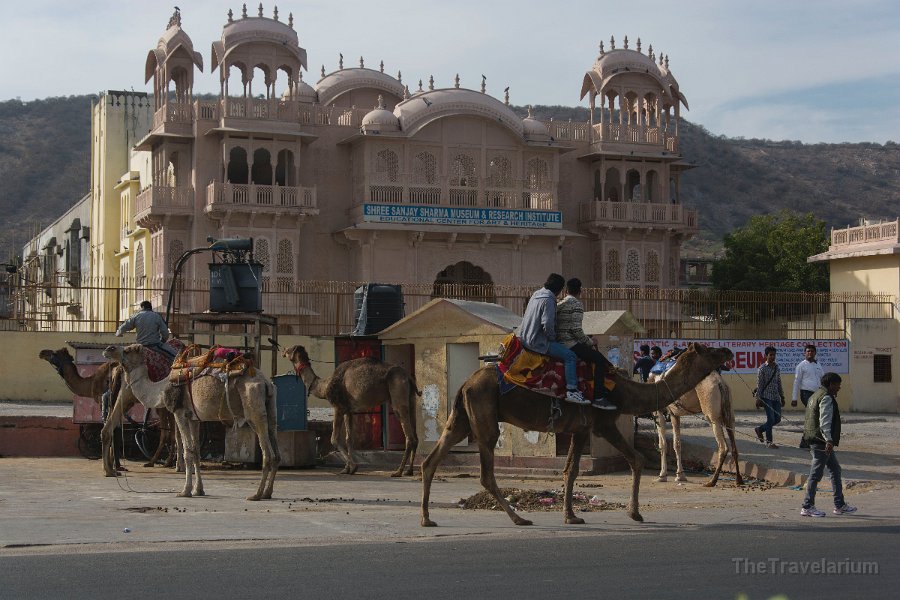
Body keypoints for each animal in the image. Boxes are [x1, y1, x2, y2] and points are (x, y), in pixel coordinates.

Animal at [37, 350, 178, 476]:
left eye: (54, 354)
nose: (42, 353)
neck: (91, 383)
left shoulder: (102, 398)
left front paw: (115, 465)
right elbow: (116, 429)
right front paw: (117, 465)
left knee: (166, 432)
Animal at [103, 344, 278, 500]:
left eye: (127, 350)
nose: (108, 349)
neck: (160, 389)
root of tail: (265, 382)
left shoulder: (180, 413)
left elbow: (187, 451)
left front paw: (185, 491)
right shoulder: (194, 418)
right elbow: (196, 452)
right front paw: (198, 490)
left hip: (254, 407)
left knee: (267, 454)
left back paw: (257, 495)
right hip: (270, 411)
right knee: (276, 453)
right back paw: (267, 493)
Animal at [284, 346, 420, 478]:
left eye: (289, 349)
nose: (283, 352)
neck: (324, 387)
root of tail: (408, 377)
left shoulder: (338, 407)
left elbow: (334, 439)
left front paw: (353, 467)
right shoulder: (348, 411)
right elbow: (349, 438)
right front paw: (347, 469)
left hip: (398, 394)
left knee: (409, 436)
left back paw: (398, 471)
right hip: (411, 400)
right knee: (415, 436)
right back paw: (409, 471)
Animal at [418, 340, 736, 528]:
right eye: (709, 350)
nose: (728, 352)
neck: (623, 391)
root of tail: (465, 383)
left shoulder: (577, 429)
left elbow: (573, 468)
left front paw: (573, 513)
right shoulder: (597, 424)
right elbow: (613, 462)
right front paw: (627, 513)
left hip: (461, 418)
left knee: (430, 461)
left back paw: (427, 519)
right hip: (484, 417)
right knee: (485, 472)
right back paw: (519, 518)